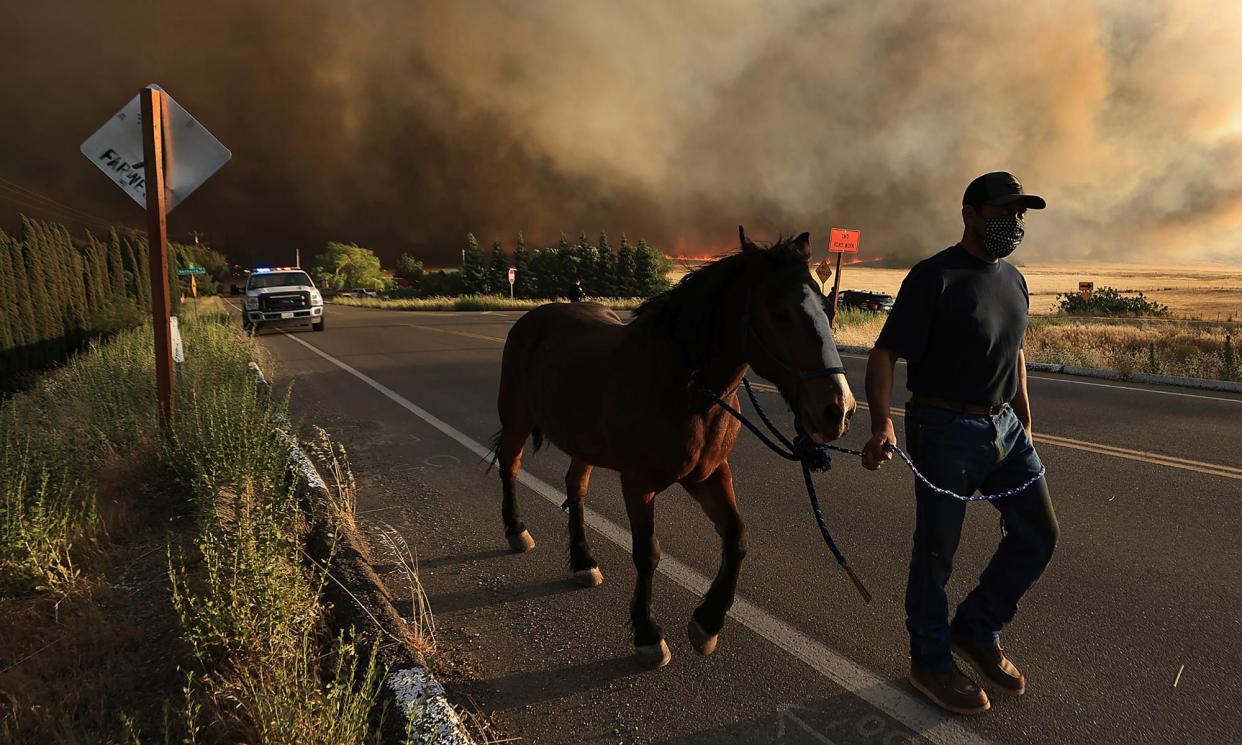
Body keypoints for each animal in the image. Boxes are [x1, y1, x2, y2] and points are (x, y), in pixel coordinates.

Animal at [489, 228, 859, 670]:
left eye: (828, 308)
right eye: (778, 312)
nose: (838, 409)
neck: (682, 387)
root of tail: (533, 318)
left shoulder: (709, 475)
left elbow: (737, 539)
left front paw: (708, 622)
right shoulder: (639, 485)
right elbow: (647, 554)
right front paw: (647, 634)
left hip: (584, 443)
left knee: (575, 487)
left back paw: (583, 561)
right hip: (517, 420)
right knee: (510, 467)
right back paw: (517, 530)